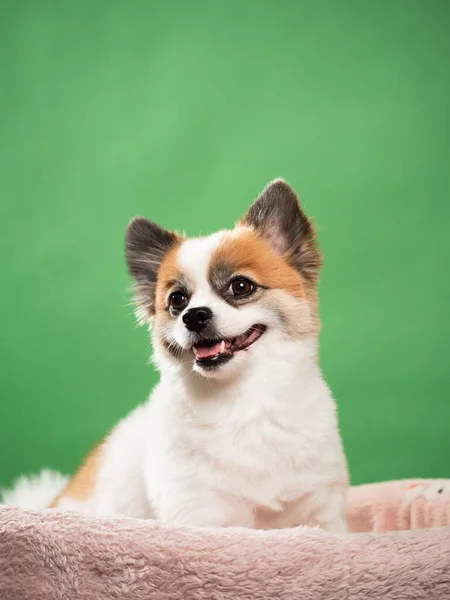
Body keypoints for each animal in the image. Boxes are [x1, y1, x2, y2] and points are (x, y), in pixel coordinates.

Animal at [3, 179, 350, 528]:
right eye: (177, 300)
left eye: (241, 286)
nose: (193, 316)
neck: (244, 401)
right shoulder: (200, 515)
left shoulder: (322, 512)